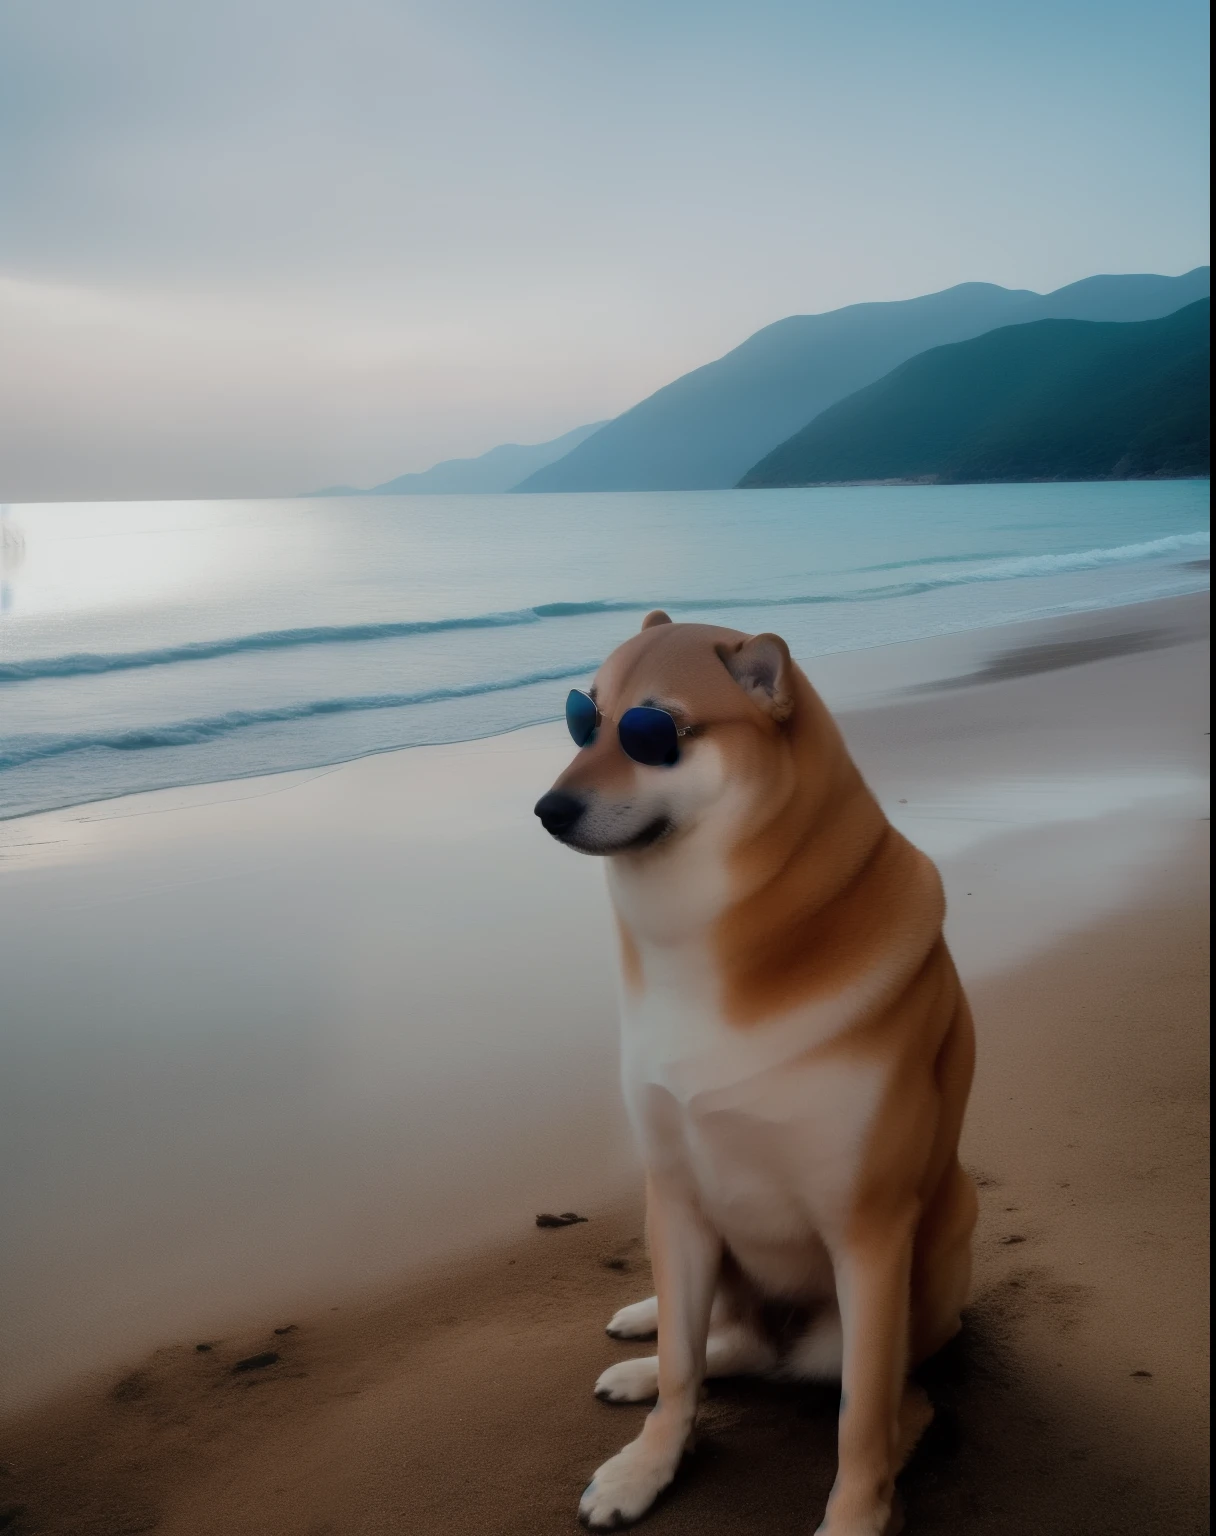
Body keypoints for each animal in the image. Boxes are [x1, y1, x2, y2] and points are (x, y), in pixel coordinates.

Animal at [534, 611, 976, 1536]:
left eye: (654, 732)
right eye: (584, 720)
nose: (548, 808)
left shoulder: (868, 1236)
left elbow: (862, 1424)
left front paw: (855, 1517)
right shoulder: (675, 1198)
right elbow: (682, 1369)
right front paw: (646, 1468)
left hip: (877, 1309)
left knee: (883, 1397)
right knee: (714, 1343)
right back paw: (640, 1347)